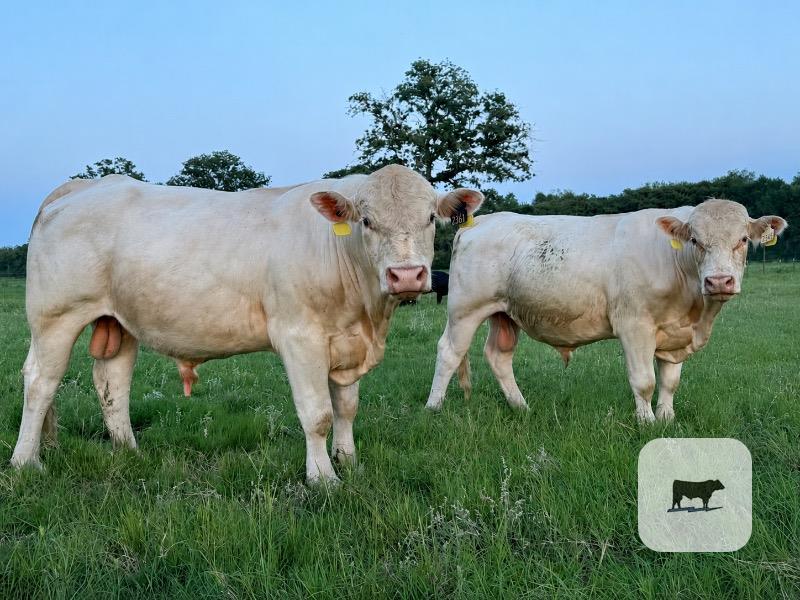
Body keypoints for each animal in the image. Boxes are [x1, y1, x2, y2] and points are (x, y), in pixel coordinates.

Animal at [13, 165, 483, 483]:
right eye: (367, 221)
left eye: (429, 218)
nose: (407, 275)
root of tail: (85, 185)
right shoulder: (300, 337)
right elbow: (317, 413)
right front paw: (323, 479)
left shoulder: (346, 341)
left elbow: (346, 408)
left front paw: (349, 463)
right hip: (55, 316)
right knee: (40, 381)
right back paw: (26, 462)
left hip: (119, 322)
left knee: (112, 384)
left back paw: (130, 453)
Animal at [425, 199, 786, 422]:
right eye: (695, 240)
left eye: (743, 239)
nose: (719, 280)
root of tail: (481, 221)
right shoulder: (634, 326)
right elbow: (644, 381)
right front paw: (647, 422)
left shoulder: (676, 333)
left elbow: (670, 382)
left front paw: (667, 418)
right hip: (465, 309)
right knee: (449, 352)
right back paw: (433, 407)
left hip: (504, 313)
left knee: (499, 357)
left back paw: (522, 407)